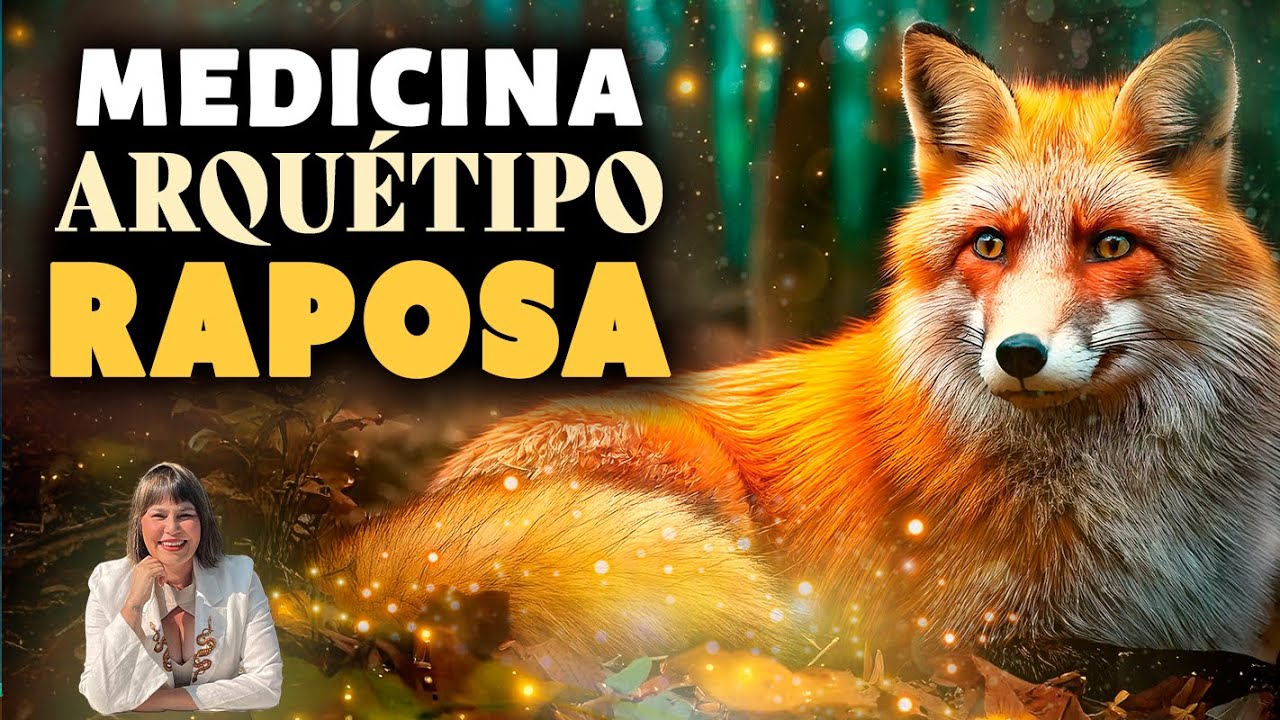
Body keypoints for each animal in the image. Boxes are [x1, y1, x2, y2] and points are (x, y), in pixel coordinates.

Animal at [312, 19, 1280, 701]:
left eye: (1111, 244)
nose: (1019, 355)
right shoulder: (956, 636)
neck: (1122, 492)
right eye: (990, 245)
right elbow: (1205, 664)